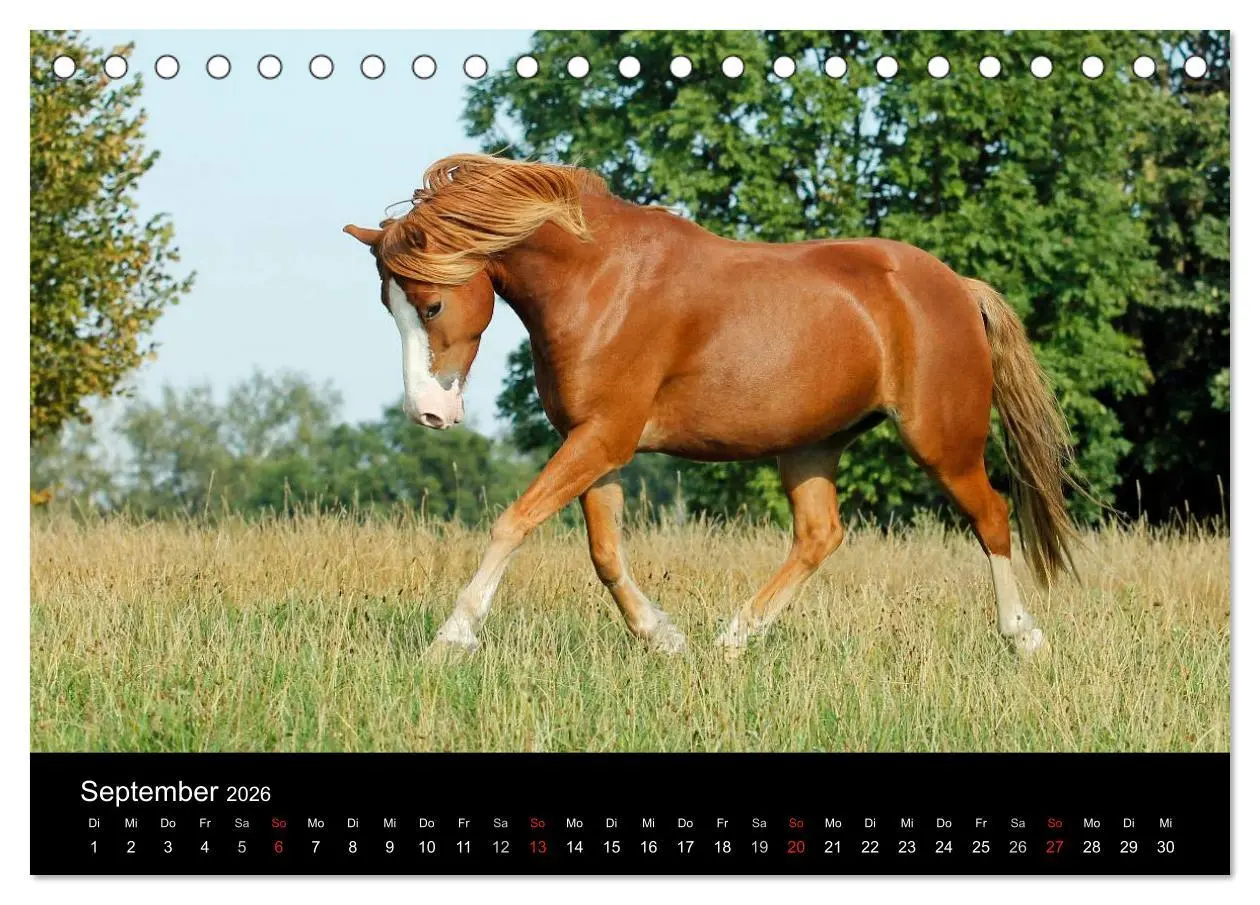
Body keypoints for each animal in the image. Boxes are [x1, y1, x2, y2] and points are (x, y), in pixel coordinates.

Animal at [344, 153, 1077, 658]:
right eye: (386, 304)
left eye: (432, 305)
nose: (428, 413)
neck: (600, 282)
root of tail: (957, 286)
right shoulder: (597, 445)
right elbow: (605, 553)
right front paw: (662, 637)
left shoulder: (602, 437)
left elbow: (513, 522)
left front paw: (452, 635)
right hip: (810, 445)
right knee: (819, 534)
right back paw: (731, 640)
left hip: (941, 442)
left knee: (992, 518)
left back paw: (1025, 638)